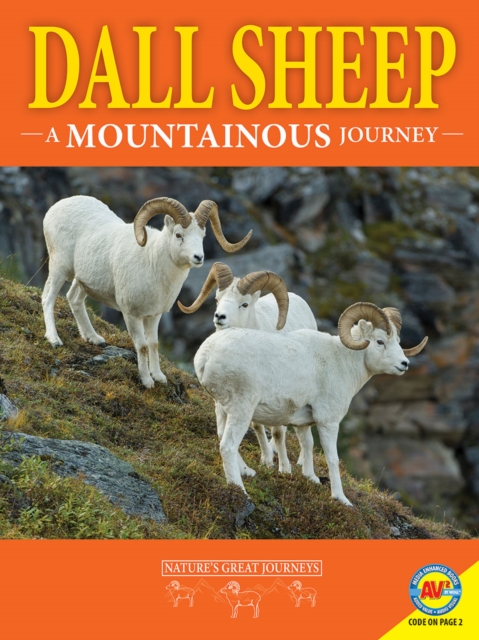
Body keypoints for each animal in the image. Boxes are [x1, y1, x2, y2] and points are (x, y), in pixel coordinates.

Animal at [42, 195, 251, 388]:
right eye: (178, 234)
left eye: (203, 235)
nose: (198, 257)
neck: (152, 262)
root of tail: (57, 207)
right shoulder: (132, 315)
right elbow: (142, 346)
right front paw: (146, 381)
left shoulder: (154, 315)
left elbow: (153, 344)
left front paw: (159, 377)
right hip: (59, 268)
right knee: (48, 298)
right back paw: (54, 340)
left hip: (82, 281)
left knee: (74, 299)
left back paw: (94, 339)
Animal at [178, 262, 317, 477]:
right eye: (217, 299)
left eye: (244, 304)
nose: (220, 317)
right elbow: (258, 426)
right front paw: (266, 460)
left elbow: (278, 432)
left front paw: (284, 469)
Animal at [194, 303, 427, 505]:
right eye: (380, 341)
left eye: (397, 340)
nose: (404, 364)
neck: (342, 361)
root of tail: (205, 356)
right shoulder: (328, 422)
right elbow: (332, 459)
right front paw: (341, 499)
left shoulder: (302, 422)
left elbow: (307, 445)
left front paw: (310, 478)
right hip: (241, 410)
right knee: (227, 446)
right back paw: (240, 491)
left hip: (222, 408)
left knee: (221, 437)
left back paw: (247, 472)